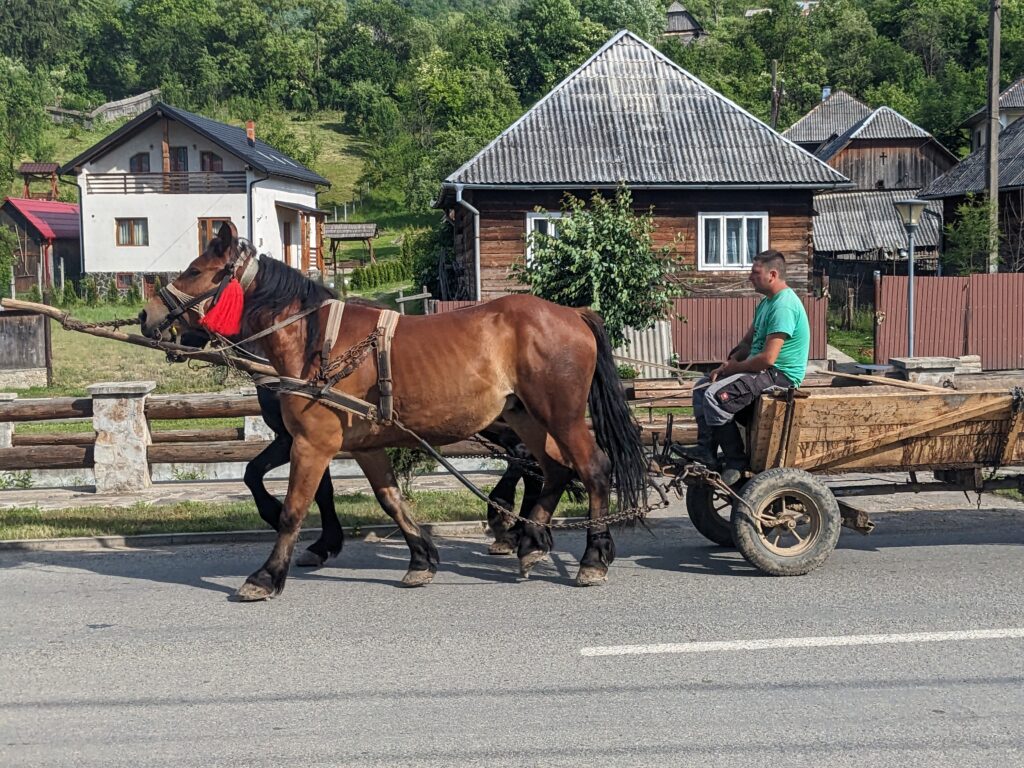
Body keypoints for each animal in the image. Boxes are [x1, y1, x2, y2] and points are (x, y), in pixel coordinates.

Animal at [139, 222, 648, 601]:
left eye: (195, 269)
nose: (147, 316)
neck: (315, 341)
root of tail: (573, 312)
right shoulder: (361, 444)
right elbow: (390, 500)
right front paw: (421, 557)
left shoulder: (311, 442)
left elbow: (294, 510)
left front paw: (266, 574)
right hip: (526, 416)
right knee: (553, 469)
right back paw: (528, 541)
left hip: (560, 415)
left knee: (592, 469)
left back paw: (591, 556)